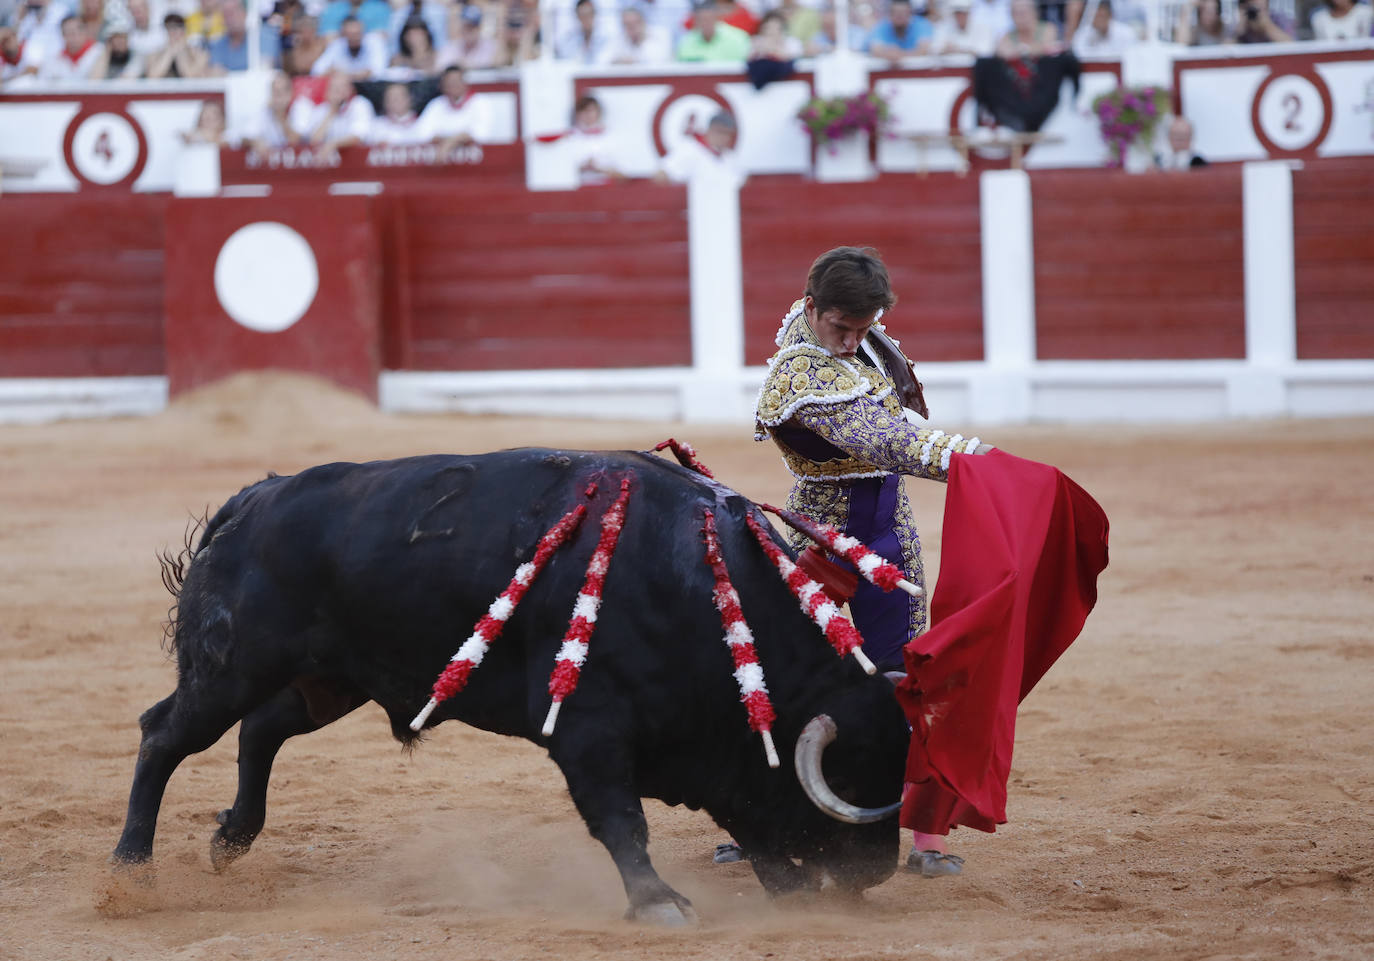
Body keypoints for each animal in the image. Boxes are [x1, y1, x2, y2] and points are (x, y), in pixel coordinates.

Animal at [112, 450, 912, 923]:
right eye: (850, 778)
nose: (877, 872)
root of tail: (254, 497)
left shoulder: (708, 746)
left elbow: (741, 810)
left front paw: (786, 885)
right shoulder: (589, 727)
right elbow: (622, 819)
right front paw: (659, 902)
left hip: (329, 680)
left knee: (262, 729)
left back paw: (230, 839)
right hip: (232, 667)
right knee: (165, 735)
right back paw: (130, 872)